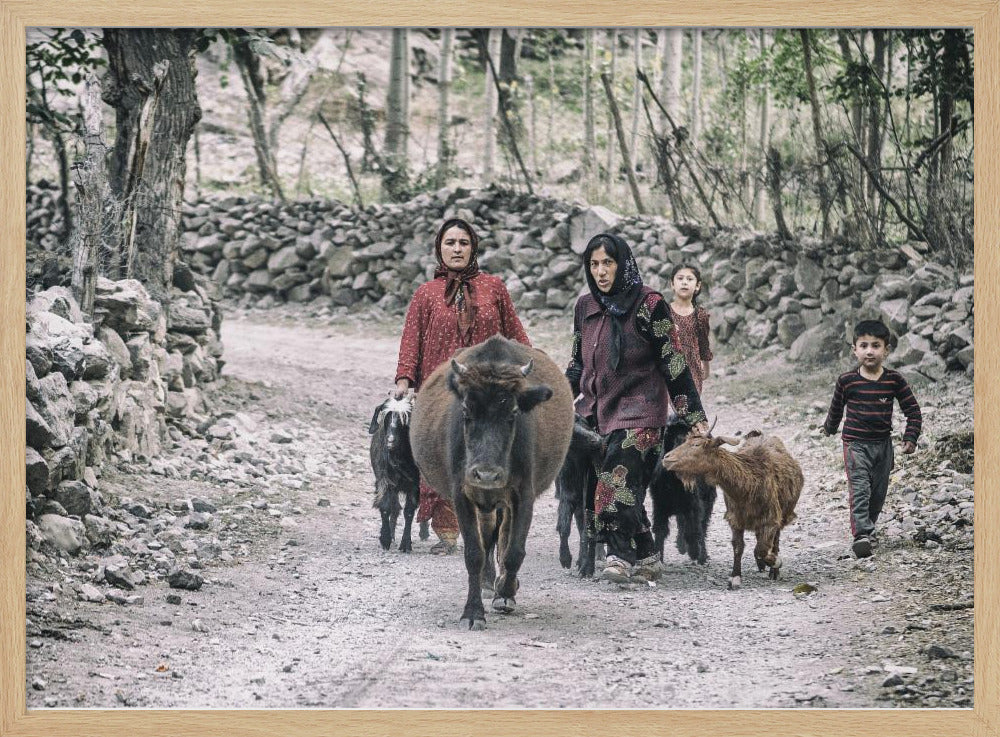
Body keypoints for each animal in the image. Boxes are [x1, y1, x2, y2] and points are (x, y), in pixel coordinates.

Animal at [370, 396, 420, 552]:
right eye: (386, 417)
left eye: (404, 419)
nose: (390, 440)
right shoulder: (385, 481)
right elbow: (386, 508)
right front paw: (385, 539)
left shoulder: (415, 484)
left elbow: (409, 512)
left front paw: (406, 544)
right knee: (394, 507)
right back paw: (390, 535)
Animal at [410, 336, 576, 628]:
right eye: (466, 412)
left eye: (512, 413)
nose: (486, 475)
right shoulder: (462, 495)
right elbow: (474, 553)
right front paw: (473, 612)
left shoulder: (523, 495)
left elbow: (514, 550)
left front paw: (506, 593)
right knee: (488, 535)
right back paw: (487, 582)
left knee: (502, 536)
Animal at [556, 414, 600, 576]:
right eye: (572, 432)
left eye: (583, 422)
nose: (596, 439)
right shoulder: (568, 496)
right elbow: (564, 527)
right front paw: (565, 558)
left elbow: (587, 532)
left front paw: (586, 566)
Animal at [648, 414, 720, 564]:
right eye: (669, 435)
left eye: (689, 439)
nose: (672, 459)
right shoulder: (660, 505)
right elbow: (660, 530)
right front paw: (659, 556)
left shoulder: (694, 504)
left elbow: (694, 528)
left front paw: (695, 552)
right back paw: (682, 547)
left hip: (707, 500)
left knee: (702, 526)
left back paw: (701, 555)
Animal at [664, 428, 804, 588]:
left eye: (696, 444)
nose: (666, 458)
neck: (747, 486)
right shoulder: (735, 519)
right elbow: (738, 547)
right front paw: (735, 577)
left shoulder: (771, 519)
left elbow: (761, 549)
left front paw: (776, 563)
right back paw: (761, 565)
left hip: (783, 514)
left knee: (775, 541)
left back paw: (773, 571)